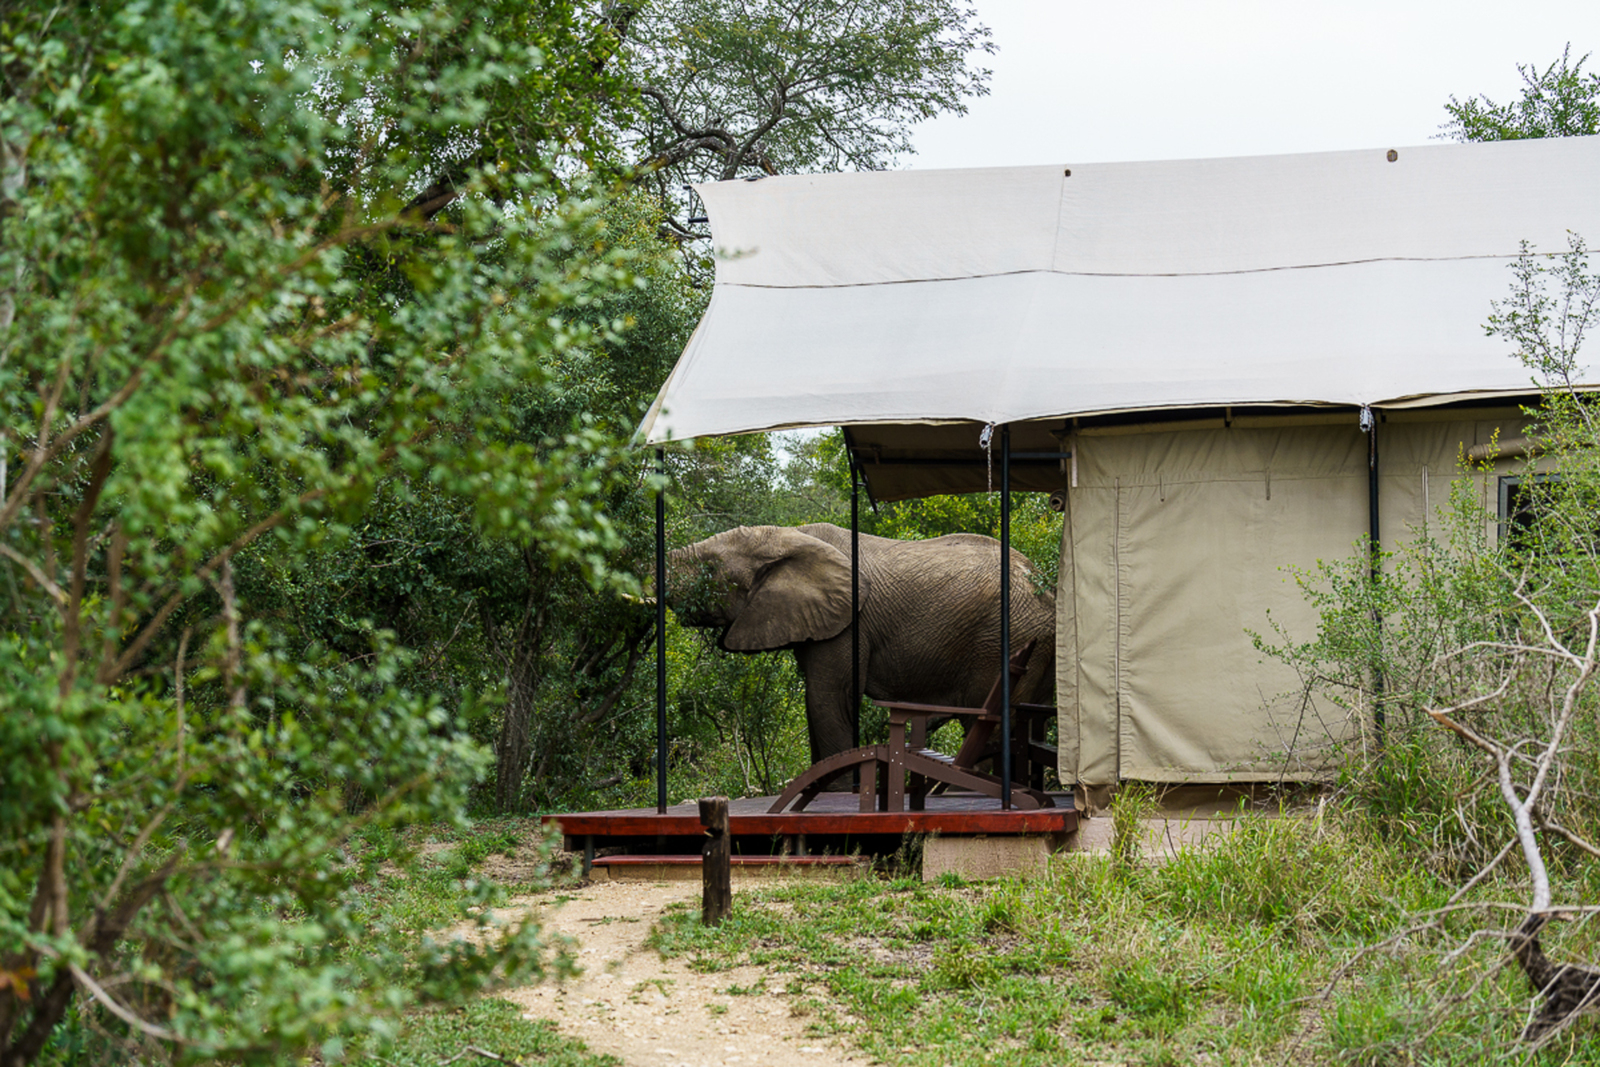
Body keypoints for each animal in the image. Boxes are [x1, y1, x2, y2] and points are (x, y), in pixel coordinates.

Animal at [666, 522, 1055, 765]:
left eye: (709, 569)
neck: (792, 535)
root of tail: (1044, 585)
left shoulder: (849, 624)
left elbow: (828, 701)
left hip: (1007, 639)